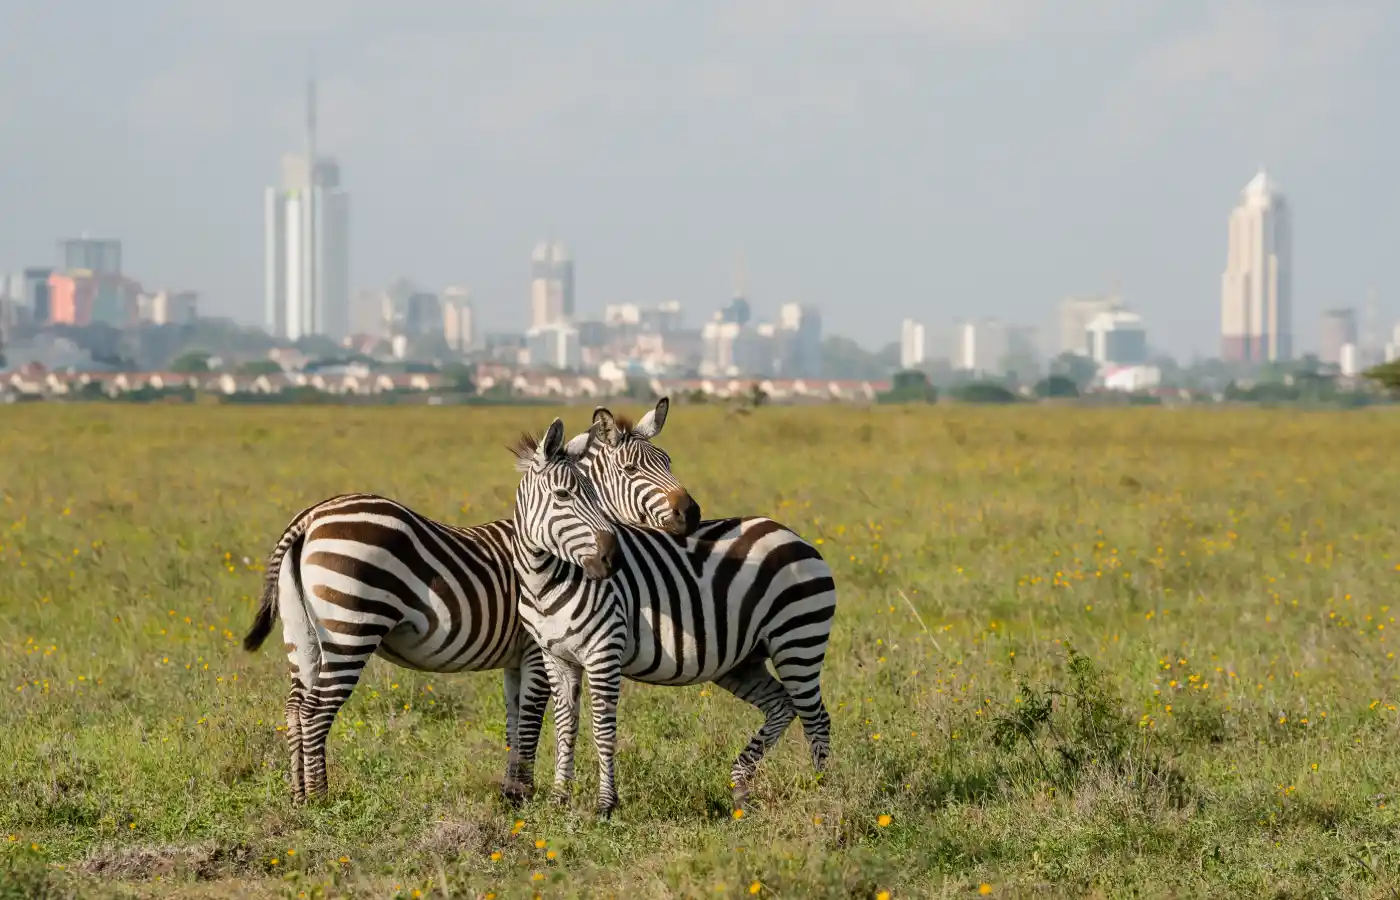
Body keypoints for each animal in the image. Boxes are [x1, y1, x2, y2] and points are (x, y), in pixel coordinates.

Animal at [241, 397, 700, 804]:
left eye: (668, 461)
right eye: (631, 469)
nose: (691, 514)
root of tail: (310, 518)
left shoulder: (516, 658)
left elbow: (515, 720)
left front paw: (512, 790)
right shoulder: (536, 649)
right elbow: (532, 718)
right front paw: (523, 793)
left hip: (302, 635)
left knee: (295, 707)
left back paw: (298, 795)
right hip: (351, 629)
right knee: (316, 711)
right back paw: (320, 798)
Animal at [511, 417, 838, 818]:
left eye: (593, 497)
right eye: (562, 496)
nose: (612, 560)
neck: (546, 581)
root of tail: (793, 535)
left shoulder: (604, 653)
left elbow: (602, 728)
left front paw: (605, 805)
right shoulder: (556, 657)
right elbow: (565, 726)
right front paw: (559, 799)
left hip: (798, 641)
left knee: (816, 718)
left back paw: (824, 795)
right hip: (743, 661)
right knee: (782, 705)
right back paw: (741, 789)